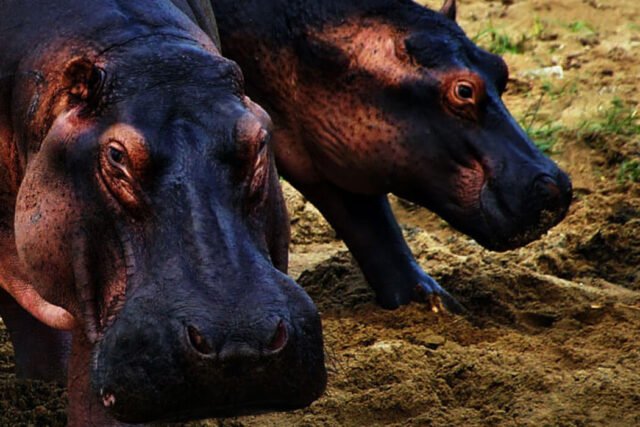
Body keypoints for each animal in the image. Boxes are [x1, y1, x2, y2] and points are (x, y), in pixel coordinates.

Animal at [211, 0, 573, 311]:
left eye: (501, 68)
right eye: (464, 91)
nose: (558, 187)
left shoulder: (325, 150)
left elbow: (375, 227)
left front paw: (438, 304)